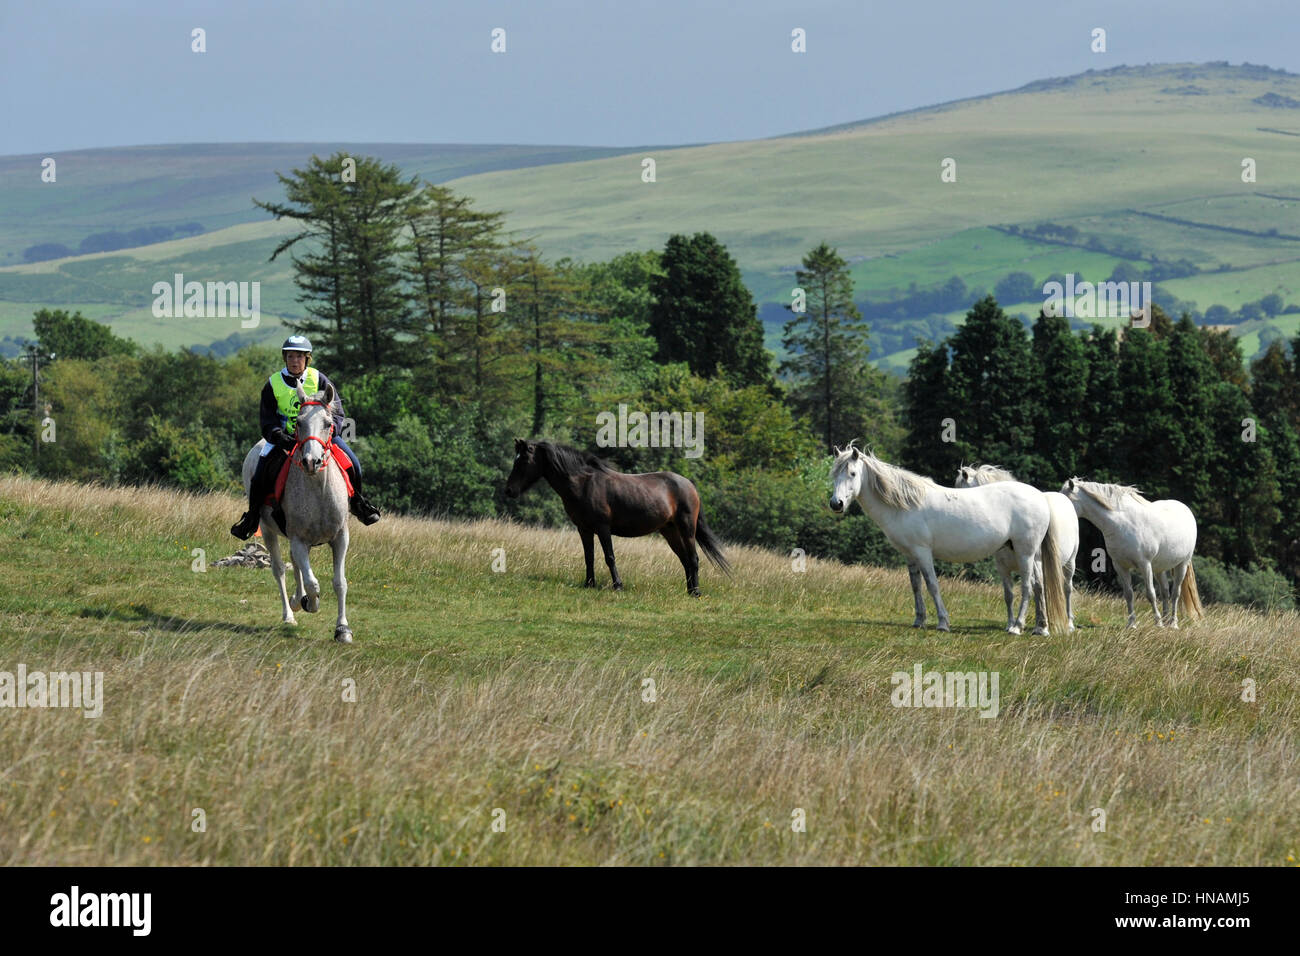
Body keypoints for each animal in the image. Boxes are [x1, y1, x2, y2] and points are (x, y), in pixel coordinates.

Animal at [241, 382, 353, 642]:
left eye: (328, 423)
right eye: (299, 422)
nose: (312, 461)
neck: (319, 491)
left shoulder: (340, 537)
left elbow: (339, 582)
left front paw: (342, 629)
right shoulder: (299, 540)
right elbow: (313, 584)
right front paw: (310, 603)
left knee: (294, 564)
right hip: (268, 530)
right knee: (280, 569)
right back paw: (290, 613)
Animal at [504, 437, 733, 595]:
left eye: (523, 461)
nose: (509, 491)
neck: (583, 483)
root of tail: (689, 486)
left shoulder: (603, 528)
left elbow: (609, 557)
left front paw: (618, 585)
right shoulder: (584, 529)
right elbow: (589, 557)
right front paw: (589, 584)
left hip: (687, 529)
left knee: (693, 558)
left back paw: (696, 592)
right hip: (670, 532)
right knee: (685, 559)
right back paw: (689, 590)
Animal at [832, 447, 1066, 634]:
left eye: (852, 473)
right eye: (833, 475)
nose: (836, 504)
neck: (904, 504)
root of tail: (1040, 496)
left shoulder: (922, 552)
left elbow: (932, 585)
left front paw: (943, 623)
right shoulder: (910, 555)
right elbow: (916, 586)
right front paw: (919, 620)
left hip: (1025, 553)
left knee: (1027, 587)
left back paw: (1016, 626)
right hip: (1029, 555)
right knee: (1038, 586)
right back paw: (1040, 628)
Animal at [961, 465, 1081, 634]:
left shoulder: (1033, 562)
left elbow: (1035, 588)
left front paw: (1028, 625)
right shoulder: (1003, 567)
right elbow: (1010, 594)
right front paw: (1014, 624)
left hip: (1070, 563)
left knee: (1067, 589)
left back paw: (1069, 624)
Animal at [1060, 476, 1201, 629]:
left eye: (1067, 499)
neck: (1122, 524)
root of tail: (1186, 510)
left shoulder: (1145, 564)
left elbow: (1150, 593)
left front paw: (1157, 622)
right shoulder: (1120, 566)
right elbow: (1128, 594)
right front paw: (1131, 624)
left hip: (1182, 564)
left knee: (1175, 593)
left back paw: (1173, 623)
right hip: (1159, 568)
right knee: (1165, 592)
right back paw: (1166, 620)